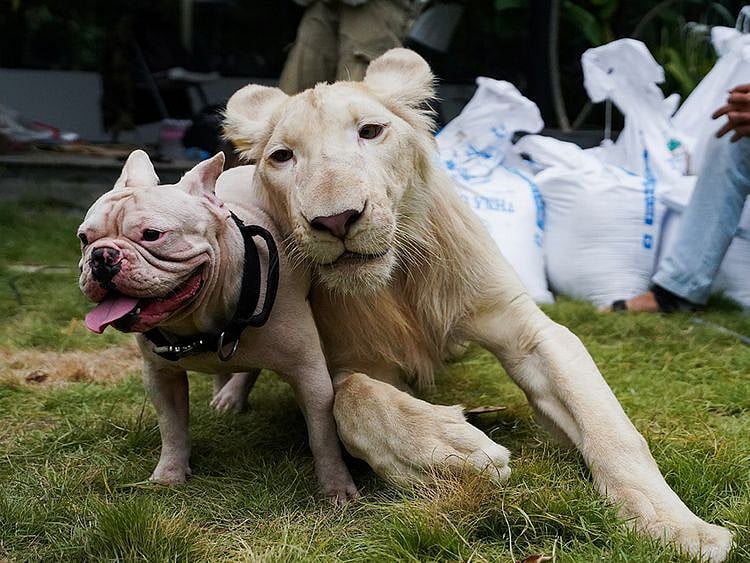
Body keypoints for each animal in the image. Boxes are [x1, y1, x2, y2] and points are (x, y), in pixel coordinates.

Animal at [223, 49, 733, 561]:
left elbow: (609, 425)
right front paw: (455, 454)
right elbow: (352, 397)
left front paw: (675, 525)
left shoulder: (527, 331)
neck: (396, 281)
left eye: (370, 131)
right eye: (282, 157)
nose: (335, 219)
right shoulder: (357, 360)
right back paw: (229, 397)